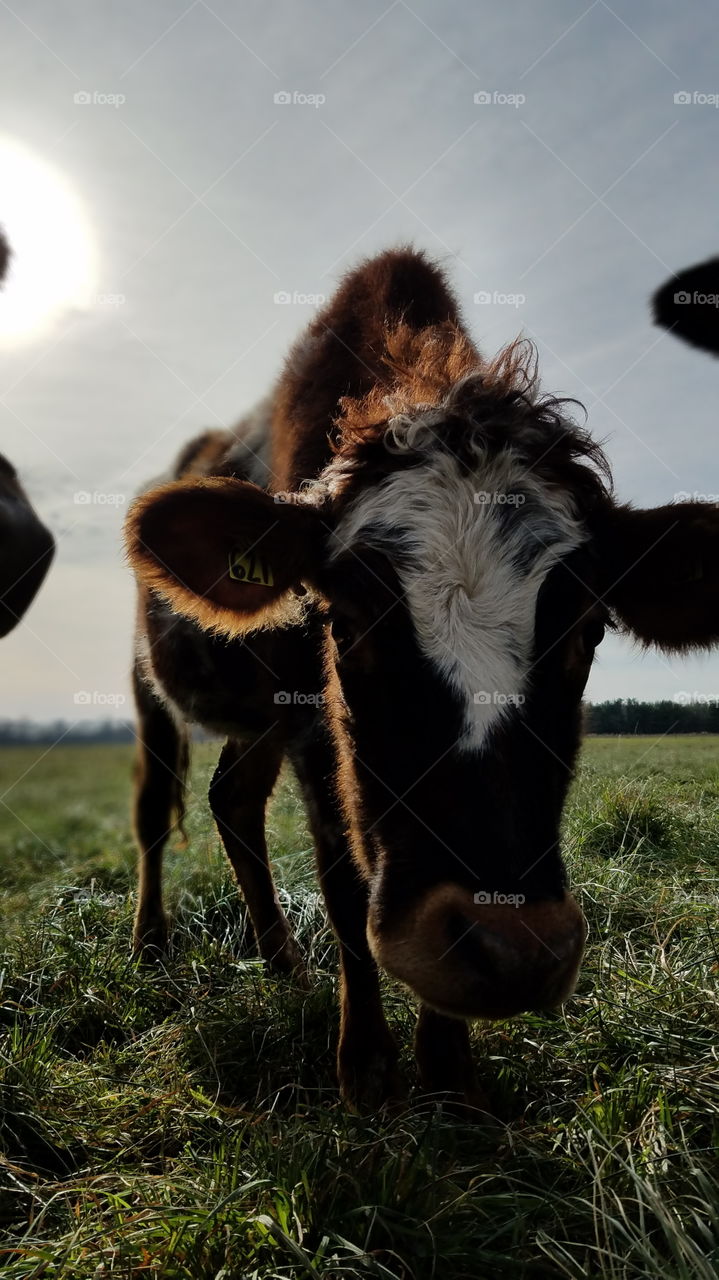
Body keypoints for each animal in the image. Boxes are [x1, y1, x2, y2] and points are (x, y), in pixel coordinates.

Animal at [125, 248, 719, 1110]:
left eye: (589, 627)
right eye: (345, 619)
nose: (512, 947)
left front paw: (445, 1070)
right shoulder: (313, 731)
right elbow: (343, 883)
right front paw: (366, 1064)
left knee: (231, 798)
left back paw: (281, 962)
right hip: (149, 684)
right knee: (152, 808)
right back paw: (148, 944)